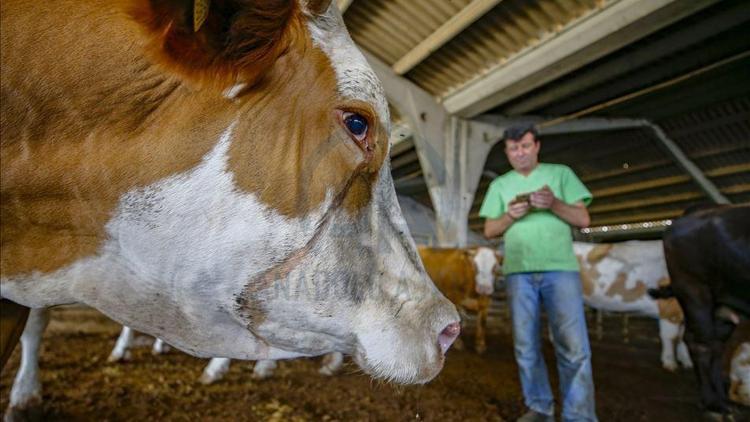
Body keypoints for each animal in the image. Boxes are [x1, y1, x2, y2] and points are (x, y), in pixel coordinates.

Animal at [652, 204, 750, 416]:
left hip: (721, 307)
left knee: (716, 346)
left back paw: (722, 398)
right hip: (694, 291)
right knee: (701, 344)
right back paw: (713, 402)